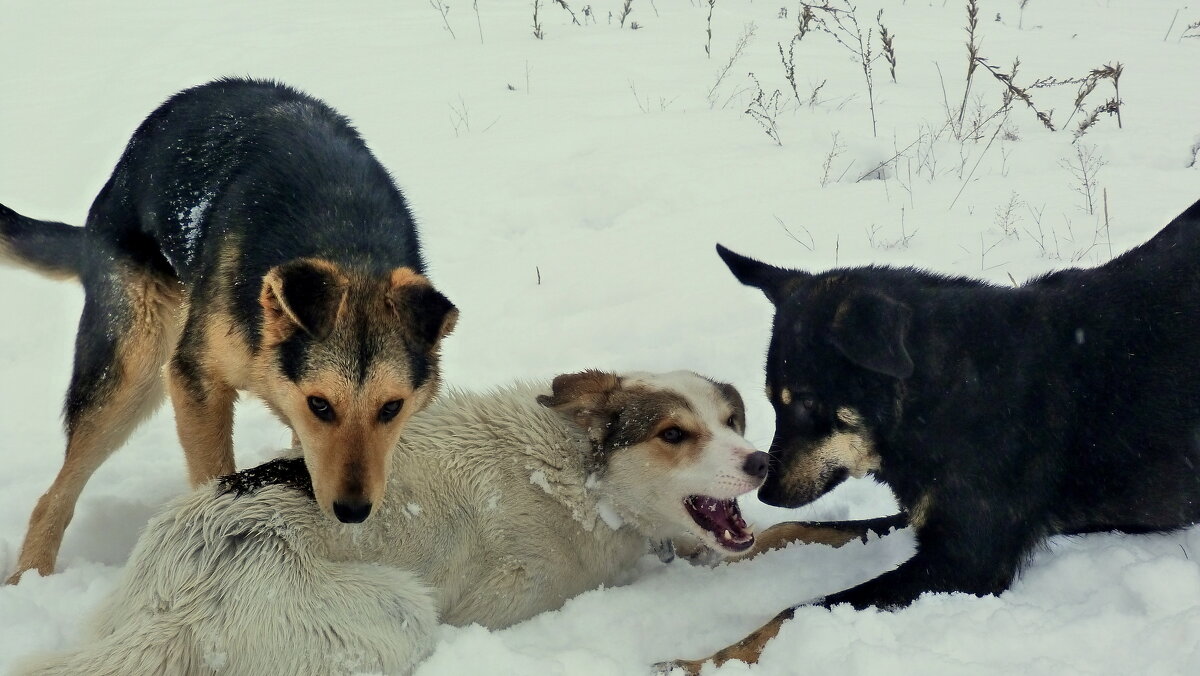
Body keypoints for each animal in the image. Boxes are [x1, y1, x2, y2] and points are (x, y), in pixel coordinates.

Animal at [0, 76, 456, 581]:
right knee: (53, 496)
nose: (353, 511)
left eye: (392, 408)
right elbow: (213, 471)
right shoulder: (196, 378)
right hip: (133, 370)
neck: (348, 241)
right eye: (320, 405)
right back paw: (28, 578)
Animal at [16, 369, 768, 676]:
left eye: (733, 420)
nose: (761, 460)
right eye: (675, 434)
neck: (578, 476)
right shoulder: (508, 601)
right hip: (402, 609)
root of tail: (180, 596)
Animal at [667, 196, 1200, 672]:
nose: (767, 491)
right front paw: (714, 561)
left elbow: (792, 612)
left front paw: (696, 662)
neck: (945, 397)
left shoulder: (965, 560)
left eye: (809, 403)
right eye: (773, 402)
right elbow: (792, 529)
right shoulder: (924, 514)